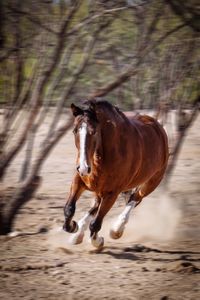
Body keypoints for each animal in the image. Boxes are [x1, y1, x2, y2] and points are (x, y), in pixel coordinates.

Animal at [63, 99, 169, 247]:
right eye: (74, 131)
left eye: (93, 132)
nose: (83, 168)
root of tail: (158, 126)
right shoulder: (79, 181)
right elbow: (69, 208)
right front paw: (73, 226)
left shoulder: (112, 193)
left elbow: (96, 224)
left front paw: (98, 242)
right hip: (100, 190)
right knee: (96, 206)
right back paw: (77, 235)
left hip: (152, 182)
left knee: (135, 199)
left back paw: (116, 229)